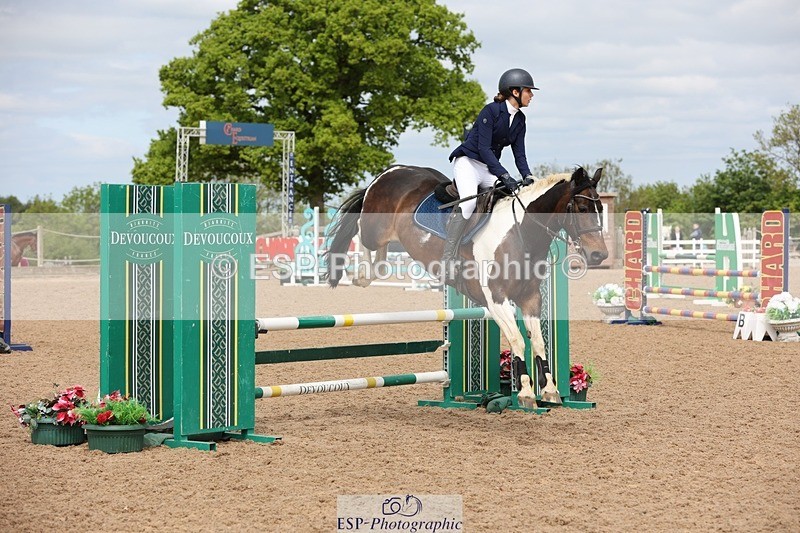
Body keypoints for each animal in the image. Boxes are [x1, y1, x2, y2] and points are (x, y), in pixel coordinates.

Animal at [323, 165, 608, 409]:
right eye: (582, 207)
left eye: (601, 208)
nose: (599, 255)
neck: (521, 232)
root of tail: (390, 171)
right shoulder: (497, 299)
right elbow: (518, 341)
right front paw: (527, 394)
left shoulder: (530, 297)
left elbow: (538, 343)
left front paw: (549, 392)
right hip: (374, 228)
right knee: (361, 234)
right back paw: (360, 274)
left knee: (380, 260)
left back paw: (369, 272)